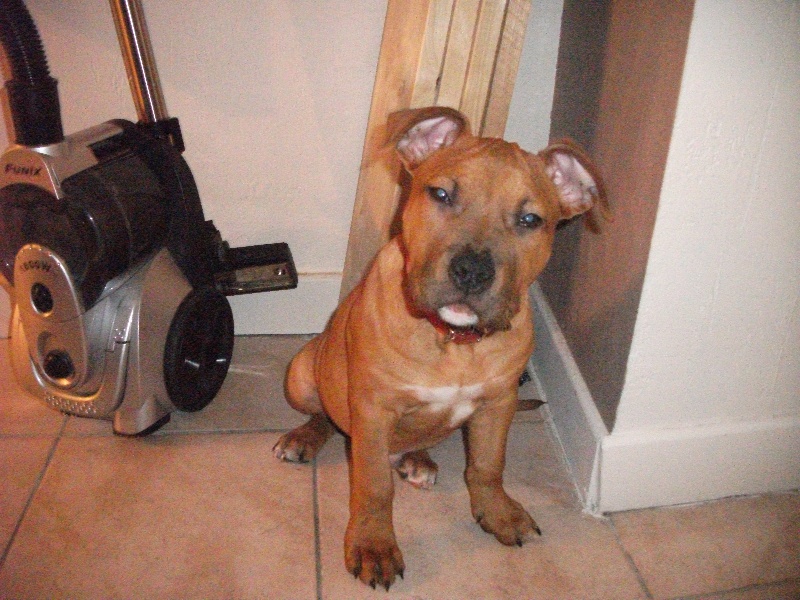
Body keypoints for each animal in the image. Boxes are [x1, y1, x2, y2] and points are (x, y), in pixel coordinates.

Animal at [273, 106, 607, 590]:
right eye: (442, 194)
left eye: (530, 221)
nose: (472, 271)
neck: (453, 339)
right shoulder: (373, 408)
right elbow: (374, 487)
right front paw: (373, 546)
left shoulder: (498, 403)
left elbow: (487, 465)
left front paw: (499, 512)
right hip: (302, 374)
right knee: (325, 416)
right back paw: (303, 438)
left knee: (425, 437)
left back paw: (419, 459)